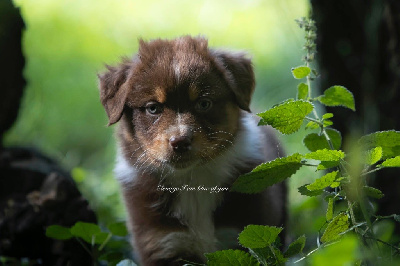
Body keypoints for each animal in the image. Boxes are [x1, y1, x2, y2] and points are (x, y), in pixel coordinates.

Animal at [98, 35, 286, 266]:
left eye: (203, 103)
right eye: (153, 108)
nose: (180, 142)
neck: (191, 180)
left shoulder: (246, 234)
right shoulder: (161, 243)